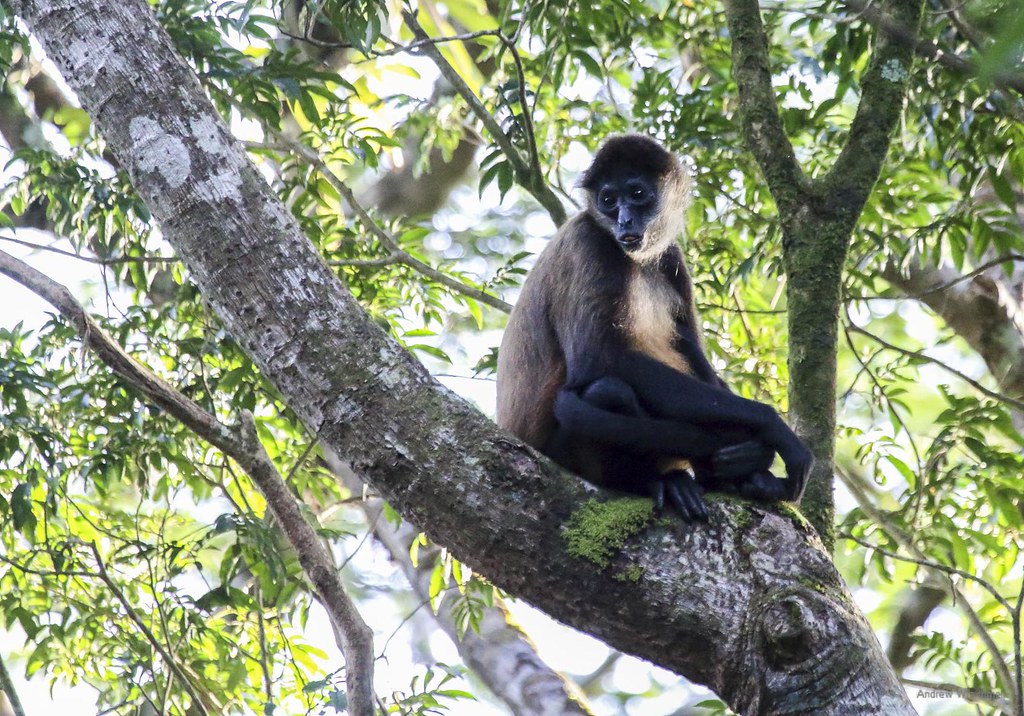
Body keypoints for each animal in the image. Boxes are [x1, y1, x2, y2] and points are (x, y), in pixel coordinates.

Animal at [496, 134, 813, 521]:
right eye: (608, 201)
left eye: (636, 194)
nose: (624, 220)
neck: (635, 260)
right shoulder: (589, 241)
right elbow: (600, 360)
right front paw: (770, 430)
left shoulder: (671, 257)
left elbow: (691, 349)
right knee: (607, 390)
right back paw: (659, 480)